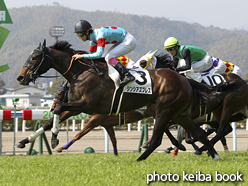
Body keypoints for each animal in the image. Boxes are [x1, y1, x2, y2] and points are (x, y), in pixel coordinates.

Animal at [15, 40, 244, 161]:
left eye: (34, 57)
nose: (21, 78)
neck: (82, 73)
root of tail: (184, 80)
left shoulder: (88, 106)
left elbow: (57, 113)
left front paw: (55, 139)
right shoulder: (77, 108)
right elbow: (49, 120)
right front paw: (25, 141)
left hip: (168, 110)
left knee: (209, 130)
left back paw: (144, 157)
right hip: (179, 113)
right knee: (201, 133)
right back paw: (212, 154)